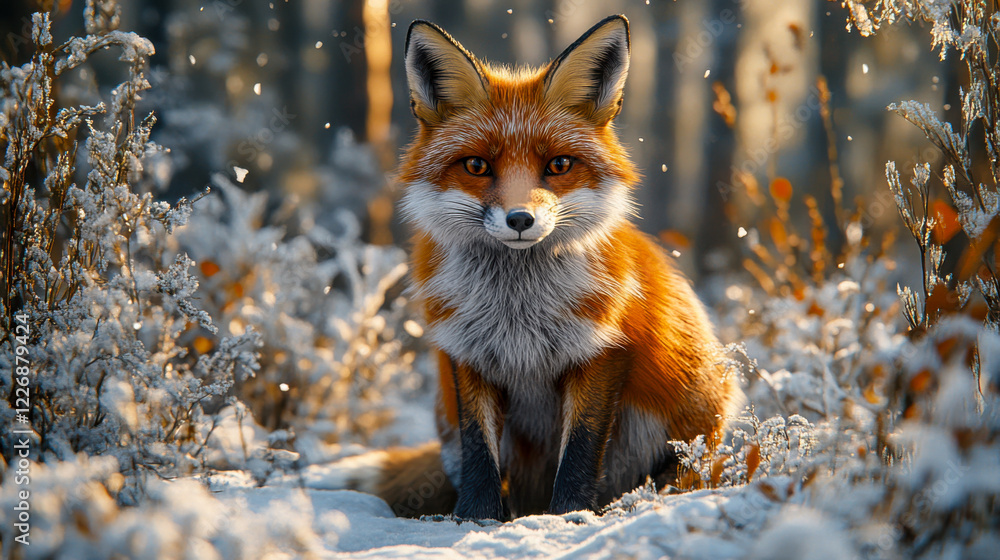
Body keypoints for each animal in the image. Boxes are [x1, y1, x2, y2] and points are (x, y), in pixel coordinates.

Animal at [333, 14, 742, 521]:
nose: (520, 220)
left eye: (559, 165)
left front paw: (569, 515)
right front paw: (477, 517)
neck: (517, 308)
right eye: (476, 166)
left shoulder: (602, 350)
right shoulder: (467, 350)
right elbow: (479, 451)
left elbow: (580, 452)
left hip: (695, 417)